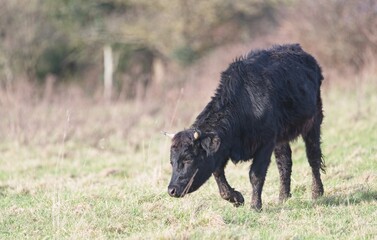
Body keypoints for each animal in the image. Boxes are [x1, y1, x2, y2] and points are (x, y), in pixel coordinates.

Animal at [164, 44, 324, 211]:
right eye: (171, 162)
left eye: (188, 159)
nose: (171, 190)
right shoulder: (224, 147)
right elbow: (217, 172)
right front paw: (236, 197)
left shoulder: (266, 143)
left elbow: (256, 174)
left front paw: (255, 205)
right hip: (281, 137)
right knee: (285, 162)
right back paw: (283, 197)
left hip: (314, 121)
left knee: (313, 156)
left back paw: (317, 192)